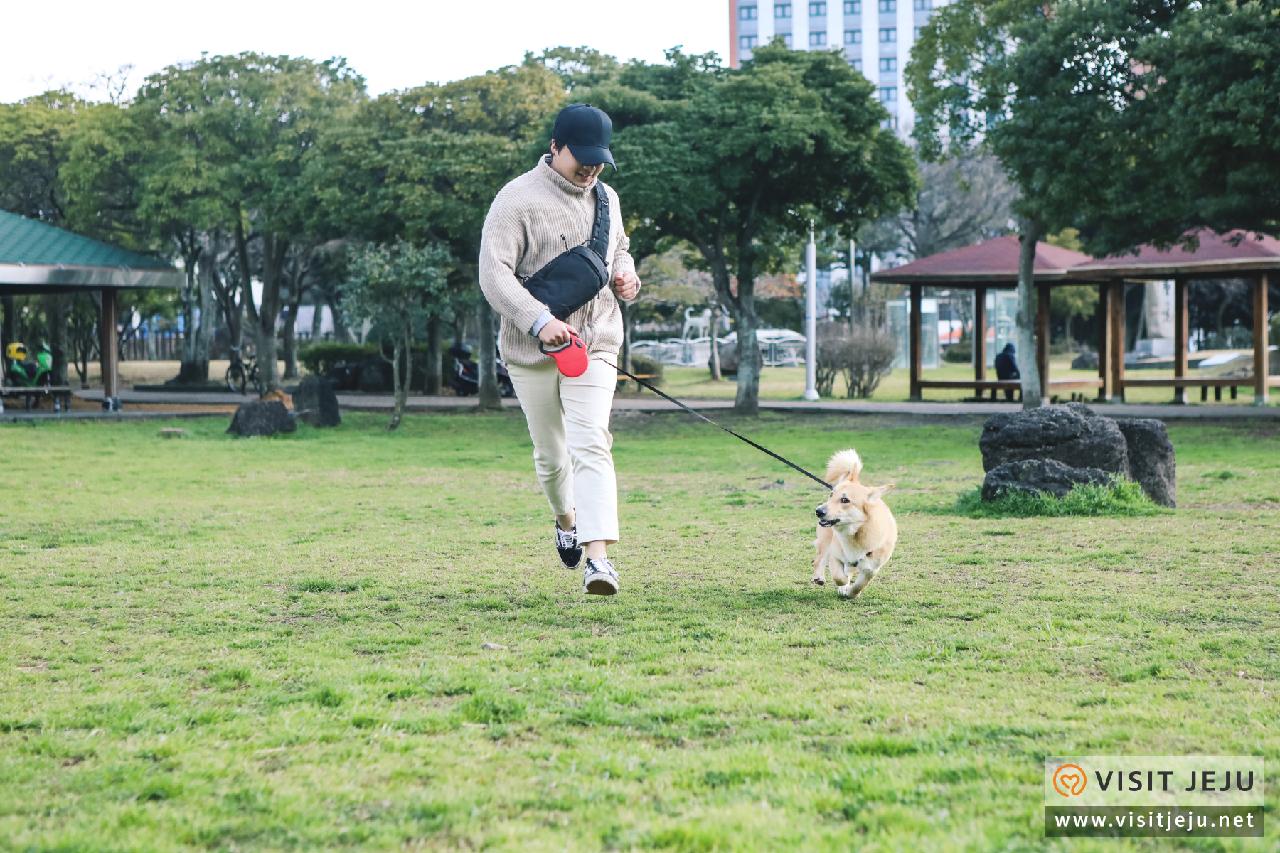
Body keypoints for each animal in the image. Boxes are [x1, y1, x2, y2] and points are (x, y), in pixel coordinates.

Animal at [814, 445, 896, 596]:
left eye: (845, 500)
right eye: (831, 495)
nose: (818, 511)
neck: (854, 532)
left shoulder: (871, 568)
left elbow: (859, 585)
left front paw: (852, 593)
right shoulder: (835, 555)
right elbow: (839, 577)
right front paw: (843, 586)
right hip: (826, 540)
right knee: (819, 559)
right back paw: (819, 577)